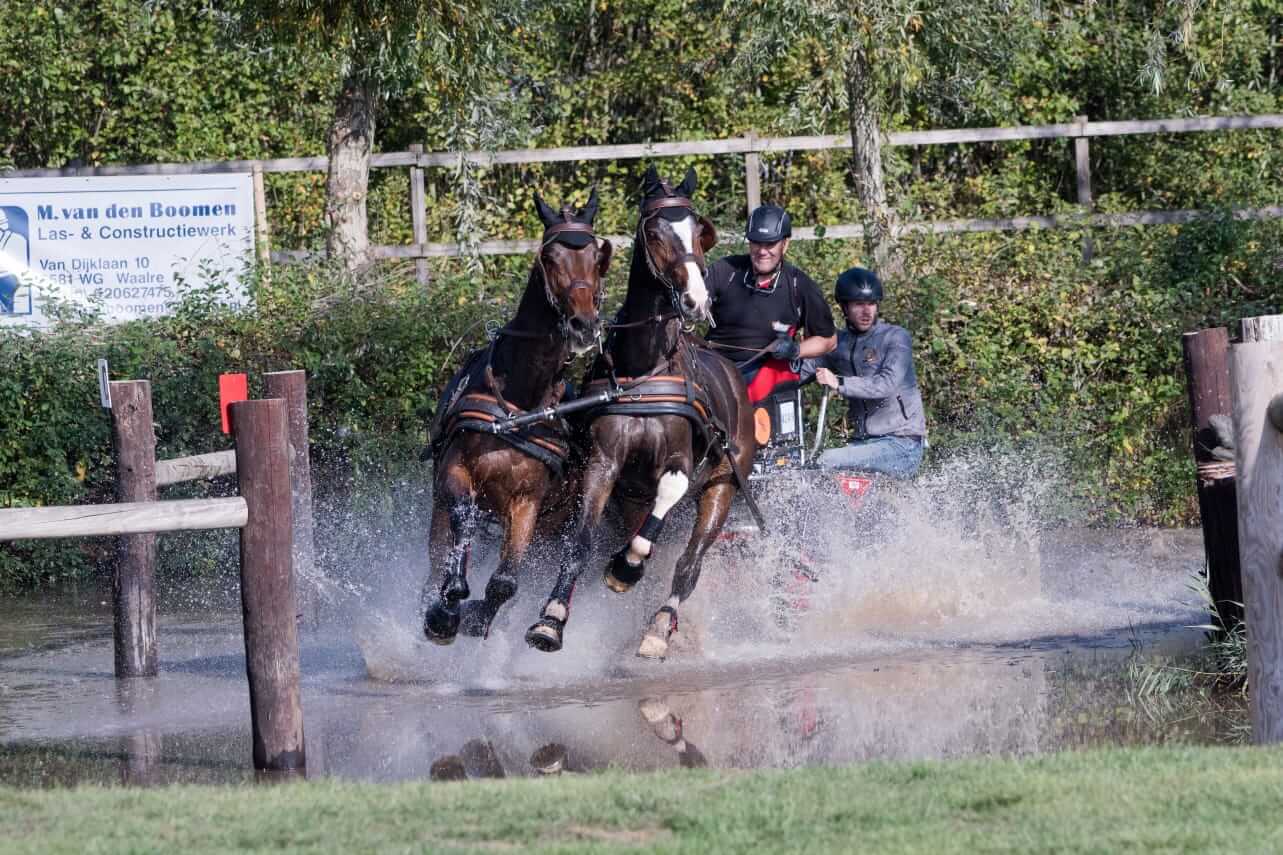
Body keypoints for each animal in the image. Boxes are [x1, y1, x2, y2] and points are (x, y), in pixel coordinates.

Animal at [422, 191, 613, 644]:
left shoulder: (527, 503)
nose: (583, 325)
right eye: (550, 257)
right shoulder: (456, 472)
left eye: (597, 256)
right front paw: (449, 602)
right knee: (440, 551)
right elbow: (463, 518)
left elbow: (505, 582)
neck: (519, 403)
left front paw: (477, 615)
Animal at [524, 166, 757, 660]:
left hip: (724, 486)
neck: (645, 368)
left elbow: (668, 497)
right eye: (654, 232)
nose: (696, 299)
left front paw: (626, 568)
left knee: (689, 561)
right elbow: (581, 540)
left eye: (698, 229)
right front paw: (551, 619)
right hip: (632, 499)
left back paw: (658, 625)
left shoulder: (682, 462)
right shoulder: (604, 462)